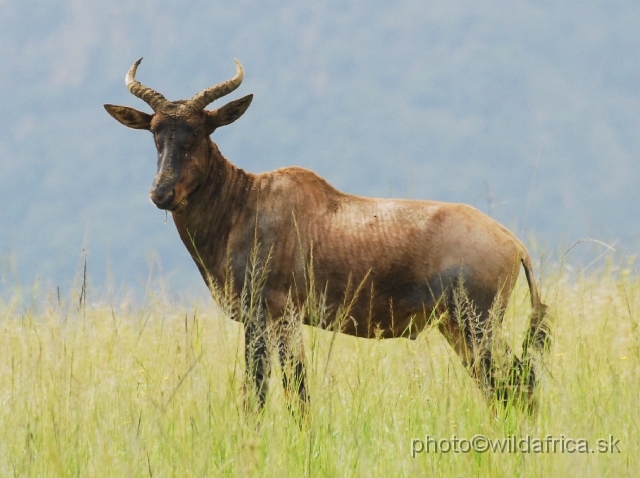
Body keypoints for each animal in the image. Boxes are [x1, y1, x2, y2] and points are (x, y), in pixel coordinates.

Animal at [105, 59, 552, 414]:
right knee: (499, 386)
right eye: (155, 133)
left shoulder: (272, 315)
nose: (161, 194)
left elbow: (277, 389)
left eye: (198, 131)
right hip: (456, 328)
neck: (246, 200)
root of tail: (515, 245)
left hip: (478, 324)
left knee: (516, 381)